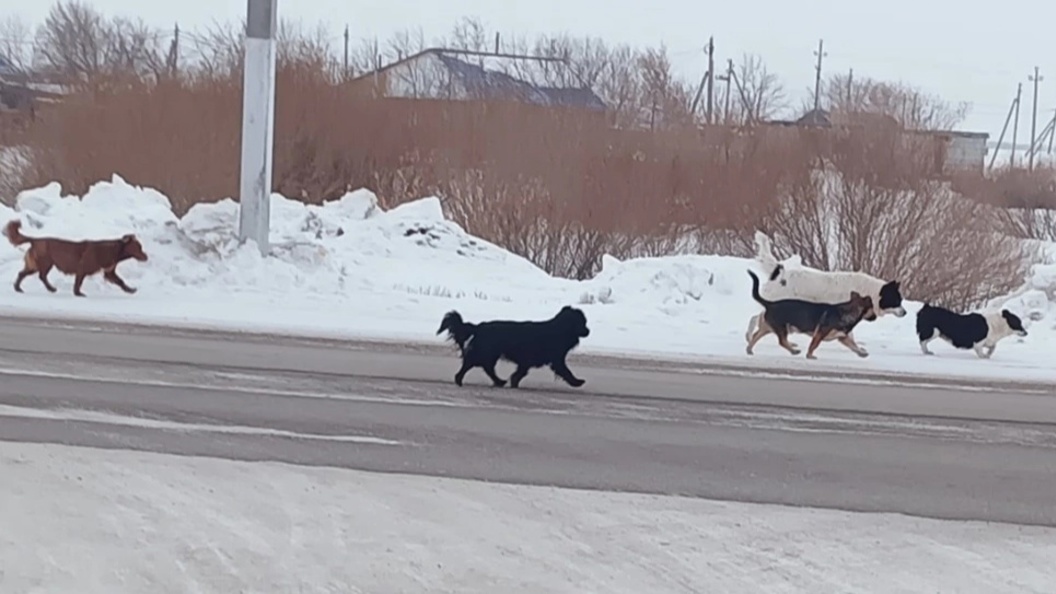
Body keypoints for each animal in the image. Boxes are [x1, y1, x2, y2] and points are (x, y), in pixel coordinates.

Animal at [5, 218, 148, 295]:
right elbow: (78, 282)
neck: (114, 250)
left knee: (22, 273)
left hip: (35, 264)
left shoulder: (109, 271)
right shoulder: (83, 267)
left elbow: (120, 281)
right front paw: (78, 293)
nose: (146, 256)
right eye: (139, 247)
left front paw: (130, 289)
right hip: (45, 261)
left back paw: (18, 288)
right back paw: (51, 288)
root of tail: (34, 240)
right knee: (41, 276)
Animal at [432, 304, 591, 388]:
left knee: (487, 367)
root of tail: (479, 326)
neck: (559, 329)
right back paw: (459, 380)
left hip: (490, 354)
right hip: (484, 352)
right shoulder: (557, 360)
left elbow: (520, 372)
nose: (588, 331)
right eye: (583, 322)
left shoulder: (527, 361)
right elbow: (566, 371)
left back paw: (499, 381)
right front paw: (577, 382)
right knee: (472, 364)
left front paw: (514, 382)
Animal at [747, 269, 878, 361]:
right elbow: (814, 345)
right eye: (872, 308)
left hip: (769, 327)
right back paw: (793, 351)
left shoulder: (843, 337)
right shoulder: (819, 334)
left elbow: (854, 346)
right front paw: (809, 355)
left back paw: (749, 349)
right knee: (782, 341)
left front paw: (861, 352)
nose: (876, 317)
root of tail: (770, 304)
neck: (848, 311)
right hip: (781, 328)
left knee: (755, 336)